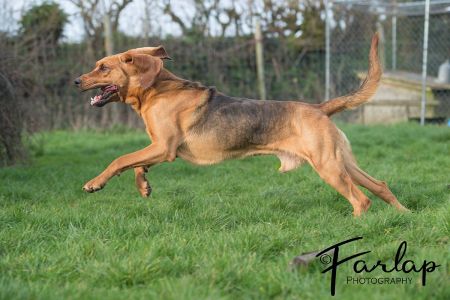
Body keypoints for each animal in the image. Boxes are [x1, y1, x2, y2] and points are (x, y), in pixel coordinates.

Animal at [76, 33, 408, 216]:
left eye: (103, 67)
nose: (76, 81)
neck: (156, 89)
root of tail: (318, 108)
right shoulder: (158, 148)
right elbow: (135, 165)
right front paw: (143, 186)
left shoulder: (163, 147)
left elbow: (121, 159)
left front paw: (95, 182)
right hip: (342, 163)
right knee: (380, 187)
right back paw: (405, 215)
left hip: (328, 167)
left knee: (361, 200)